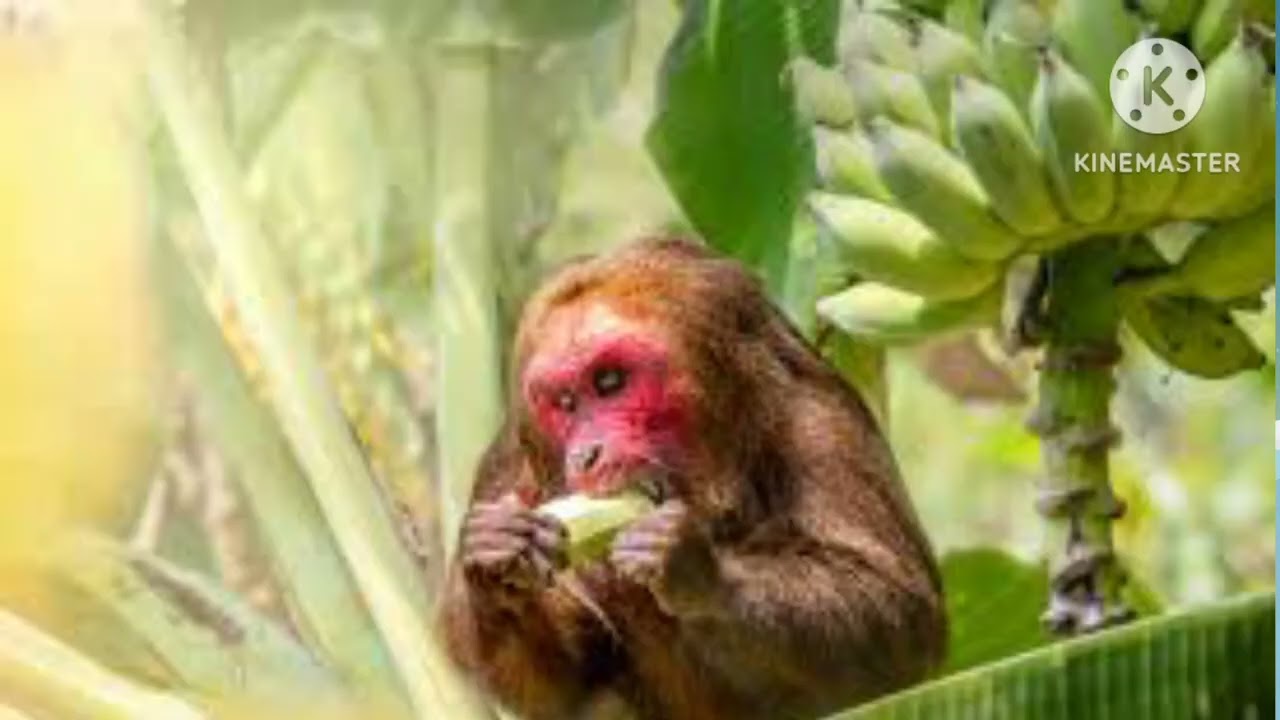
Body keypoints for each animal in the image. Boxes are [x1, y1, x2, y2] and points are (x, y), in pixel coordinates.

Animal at [439, 237, 946, 720]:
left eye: (609, 381)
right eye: (565, 402)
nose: (585, 456)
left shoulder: (819, 422)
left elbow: (901, 621)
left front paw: (694, 571)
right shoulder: (510, 460)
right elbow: (566, 684)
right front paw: (495, 560)